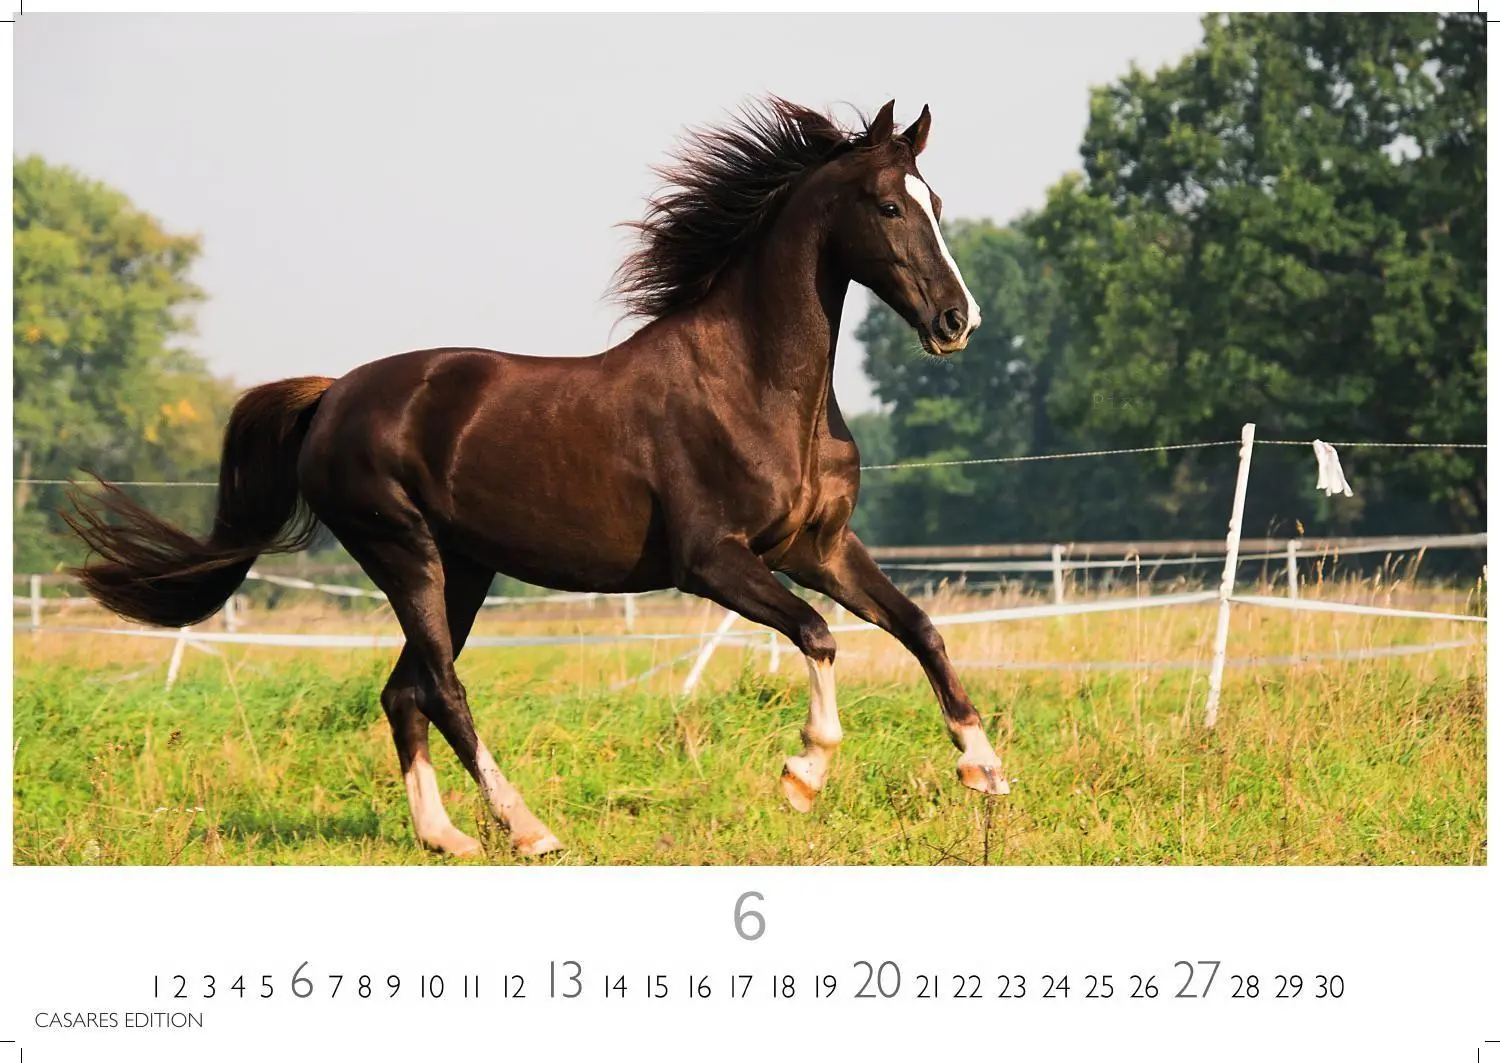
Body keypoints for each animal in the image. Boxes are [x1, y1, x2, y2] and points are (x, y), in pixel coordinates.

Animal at [64, 97, 1008, 858]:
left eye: (936, 203)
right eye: (888, 204)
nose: (957, 321)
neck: (755, 387)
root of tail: (333, 395)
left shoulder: (819, 547)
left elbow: (919, 627)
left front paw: (985, 767)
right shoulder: (713, 561)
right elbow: (818, 634)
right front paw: (803, 774)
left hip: (465, 568)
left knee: (403, 690)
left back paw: (445, 836)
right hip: (404, 552)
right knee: (442, 687)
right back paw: (528, 828)